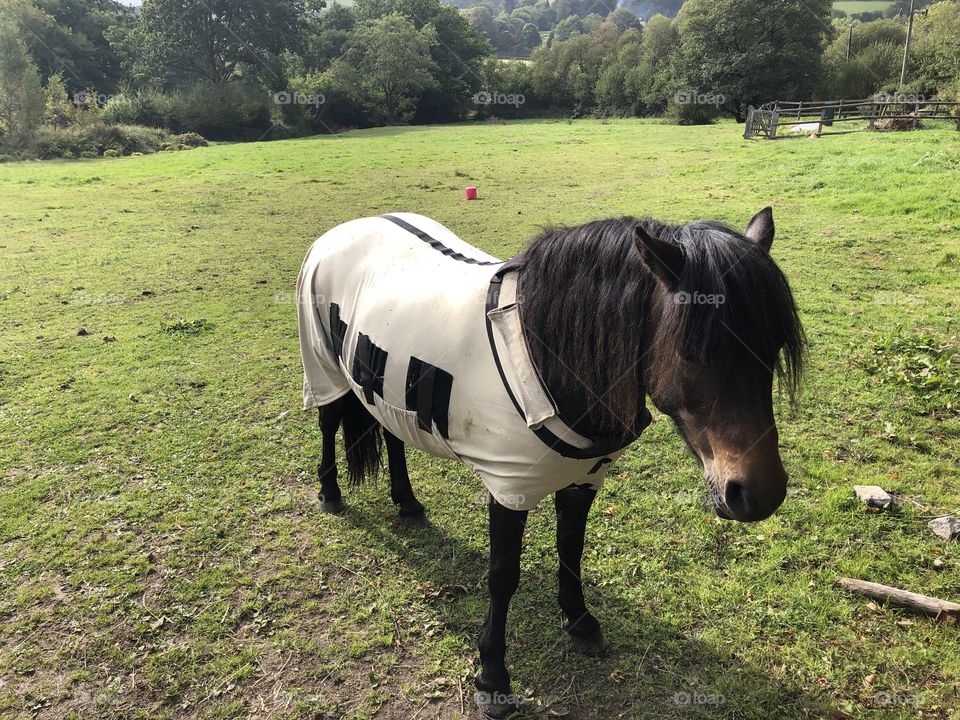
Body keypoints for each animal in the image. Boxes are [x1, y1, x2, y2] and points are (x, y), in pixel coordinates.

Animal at [298, 205, 804, 716]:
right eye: (694, 352)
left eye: (773, 348)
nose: (760, 493)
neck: (548, 357)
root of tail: (351, 227)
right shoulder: (509, 489)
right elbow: (503, 577)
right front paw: (493, 676)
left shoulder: (583, 479)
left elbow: (571, 548)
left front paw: (580, 621)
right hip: (324, 364)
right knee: (327, 421)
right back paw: (330, 494)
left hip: (382, 386)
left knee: (393, 434)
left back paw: (407, 503)